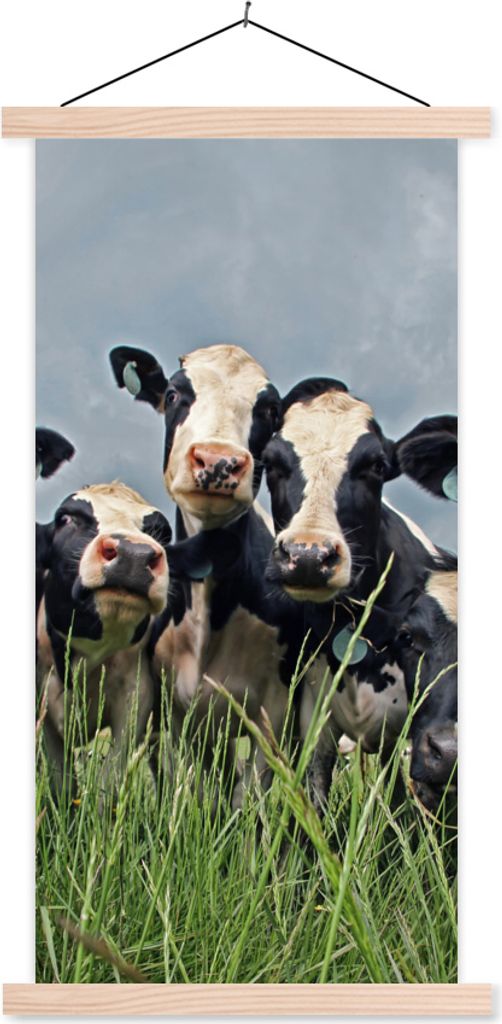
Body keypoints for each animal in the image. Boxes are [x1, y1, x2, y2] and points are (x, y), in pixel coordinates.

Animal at [37, 481, 231, 796]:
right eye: (65, 519)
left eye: (161, 533)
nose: (133, 554)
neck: (85, 656)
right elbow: (61, 785)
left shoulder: (135, 698)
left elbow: (109, 782)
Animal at [109, 343, 302, 805]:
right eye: (174, 395)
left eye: (269, 410)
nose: (219, 461)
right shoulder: (174, 710)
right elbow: (191, 792)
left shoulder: (275, 708)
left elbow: (249, 800)